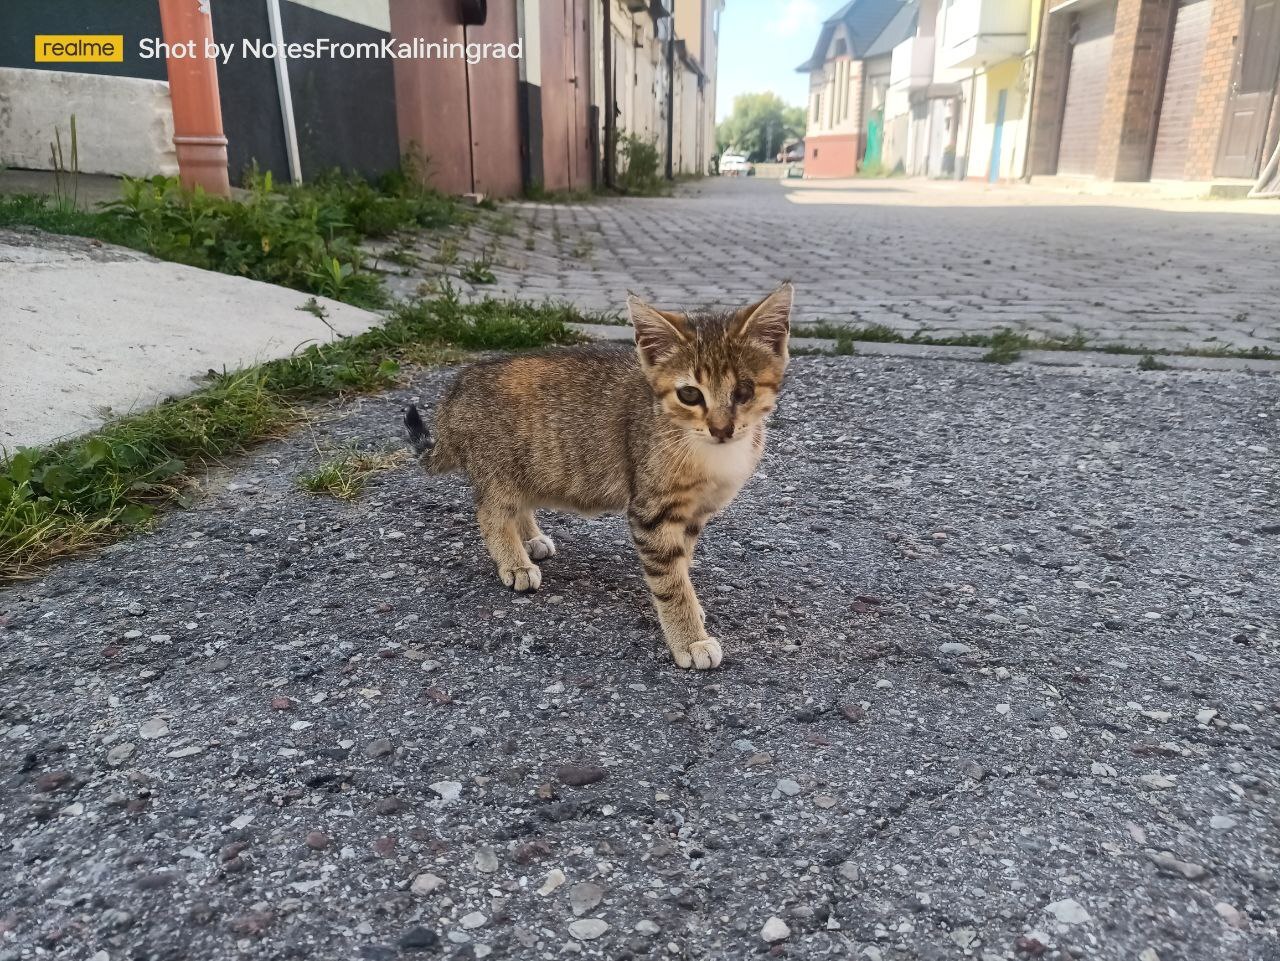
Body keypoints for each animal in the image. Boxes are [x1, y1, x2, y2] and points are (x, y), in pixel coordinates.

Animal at [404, 281, 793, 665]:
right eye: (689, 394)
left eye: (744, 391)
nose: (721, 429)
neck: (708, 453)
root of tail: (456, 389)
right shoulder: (651, 513)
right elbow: (669, 580)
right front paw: (689, 637)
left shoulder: (695, 513)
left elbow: (681, 562)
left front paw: (691, 608)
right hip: (498, 466)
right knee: (490, 513)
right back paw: (515, 562)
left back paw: (530, 538)